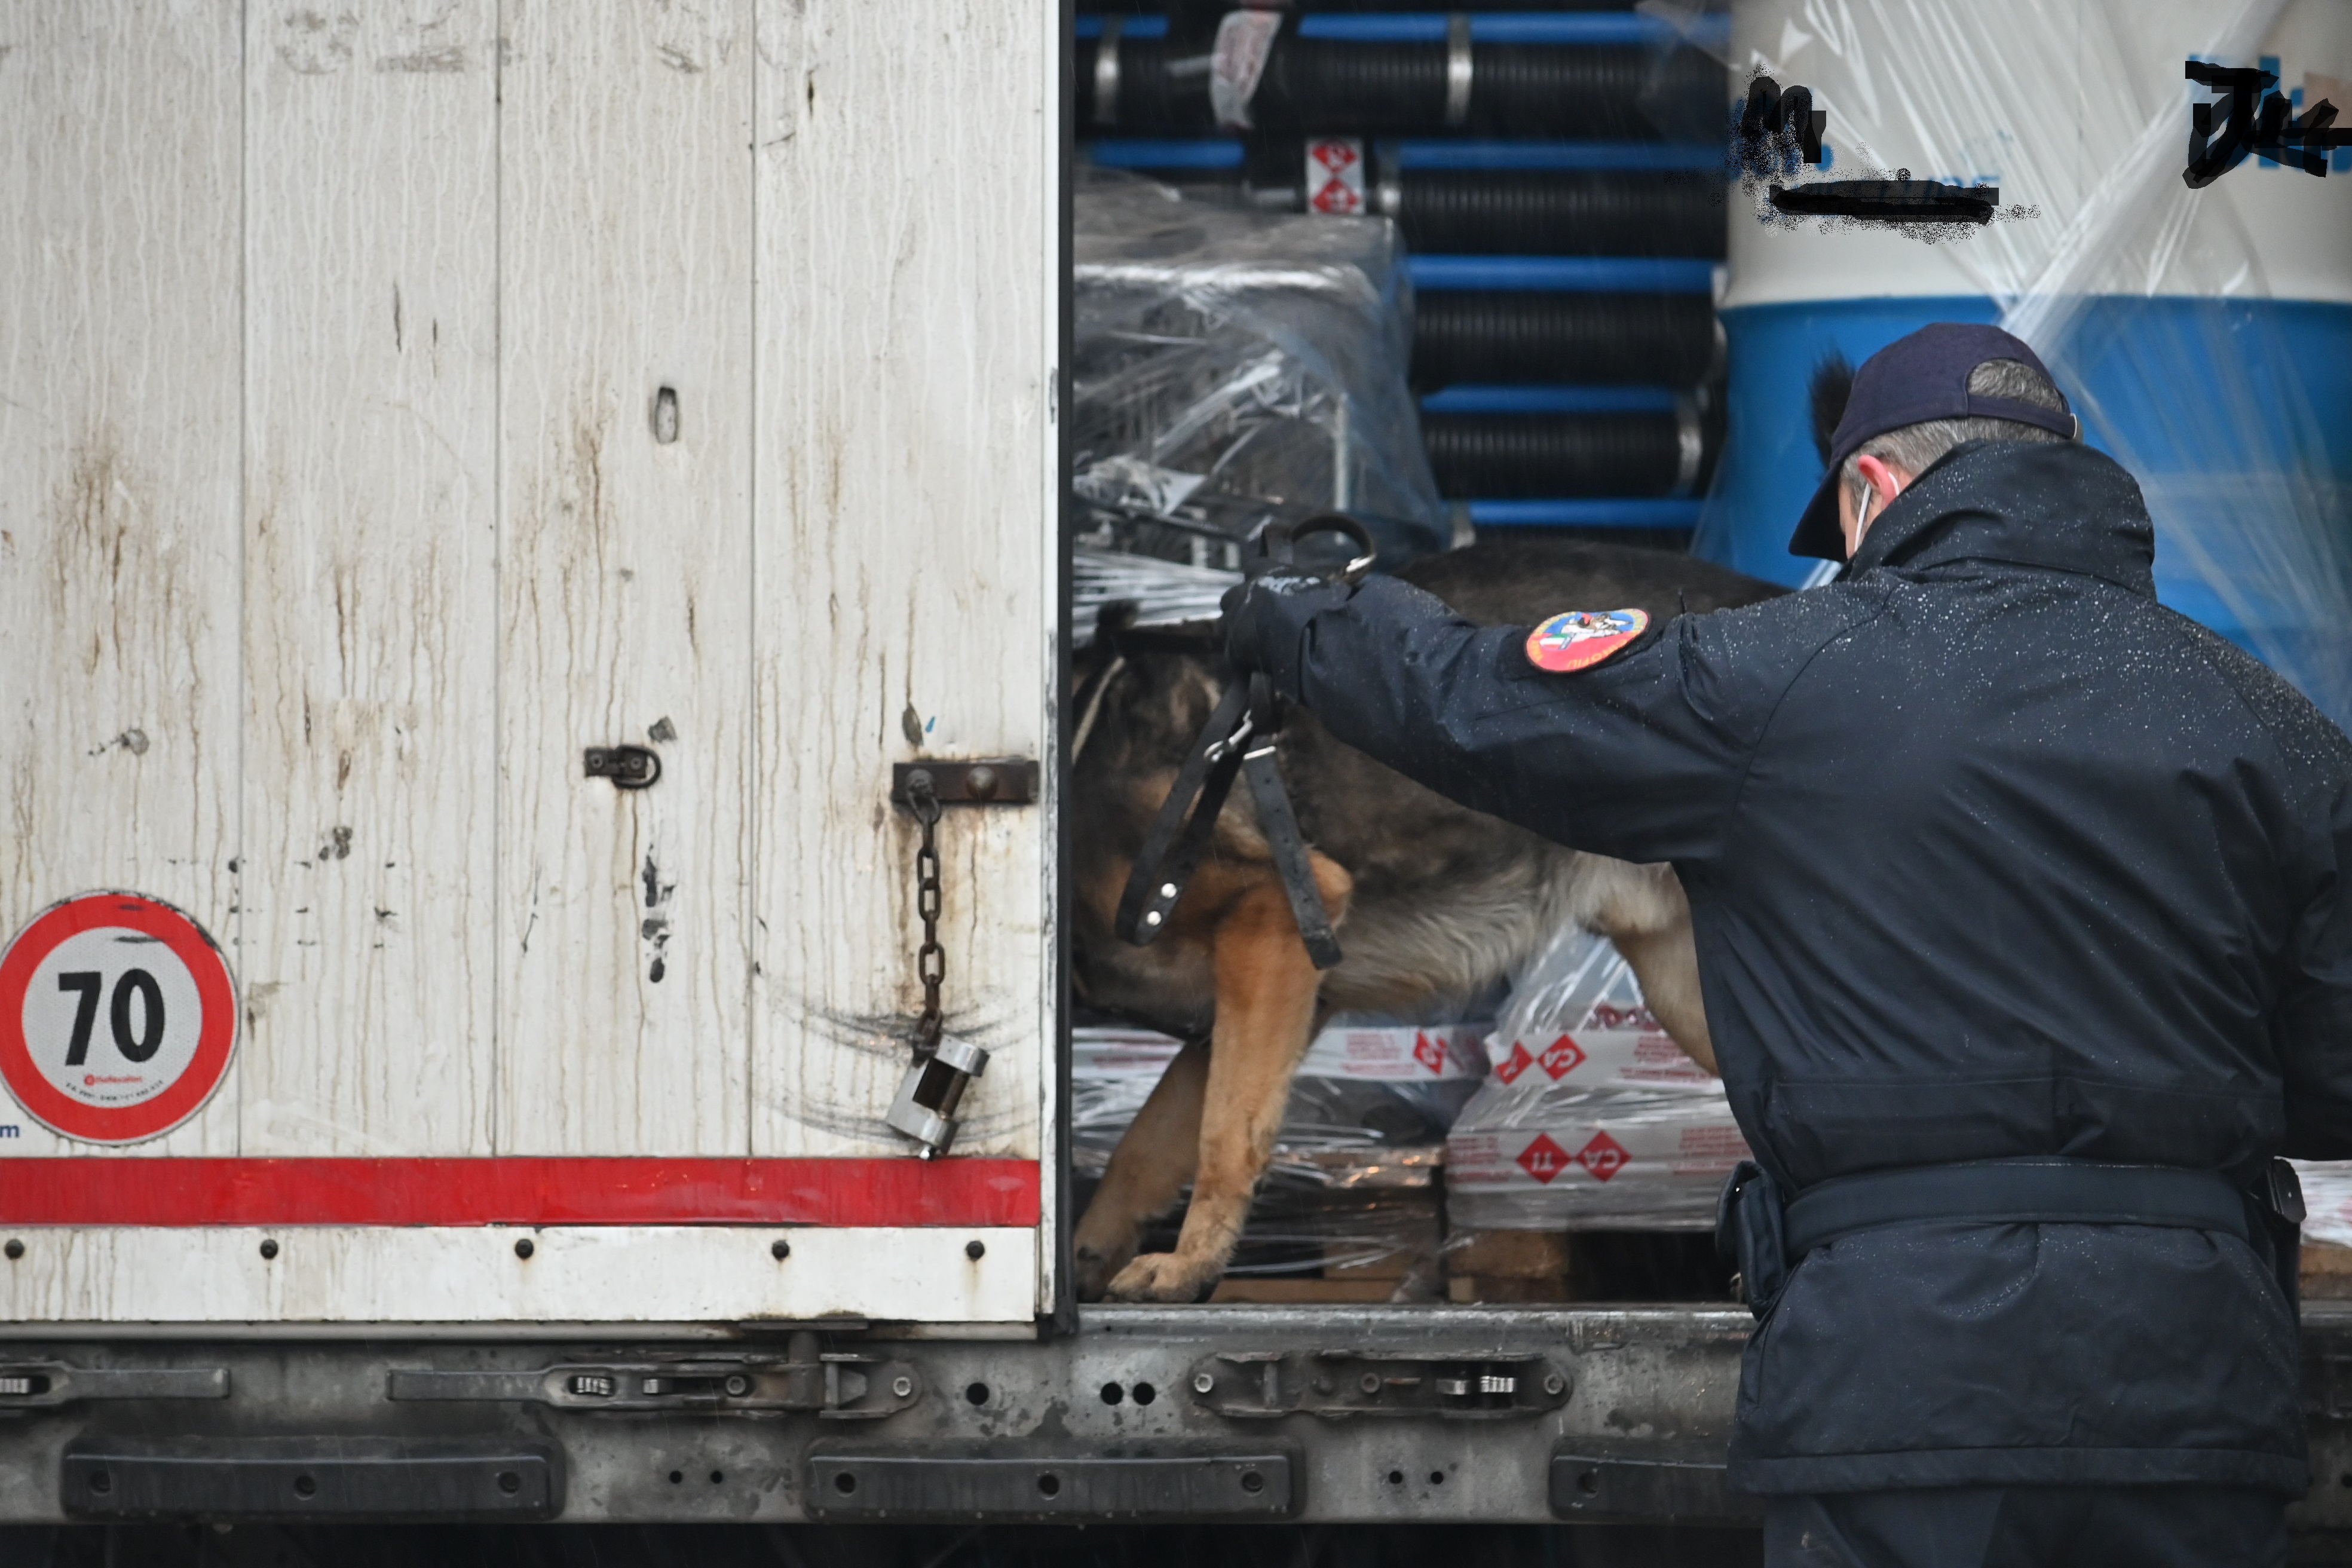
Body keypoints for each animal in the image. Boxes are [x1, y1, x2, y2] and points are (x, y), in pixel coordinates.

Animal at [1072, 540, 1778, 1297]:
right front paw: (1091, 1250)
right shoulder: (1240, 1003)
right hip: (1685, 990)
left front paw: (1189, 1264)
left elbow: (1226, 1133)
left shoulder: (1267, 923)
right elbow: (1147, 1143)